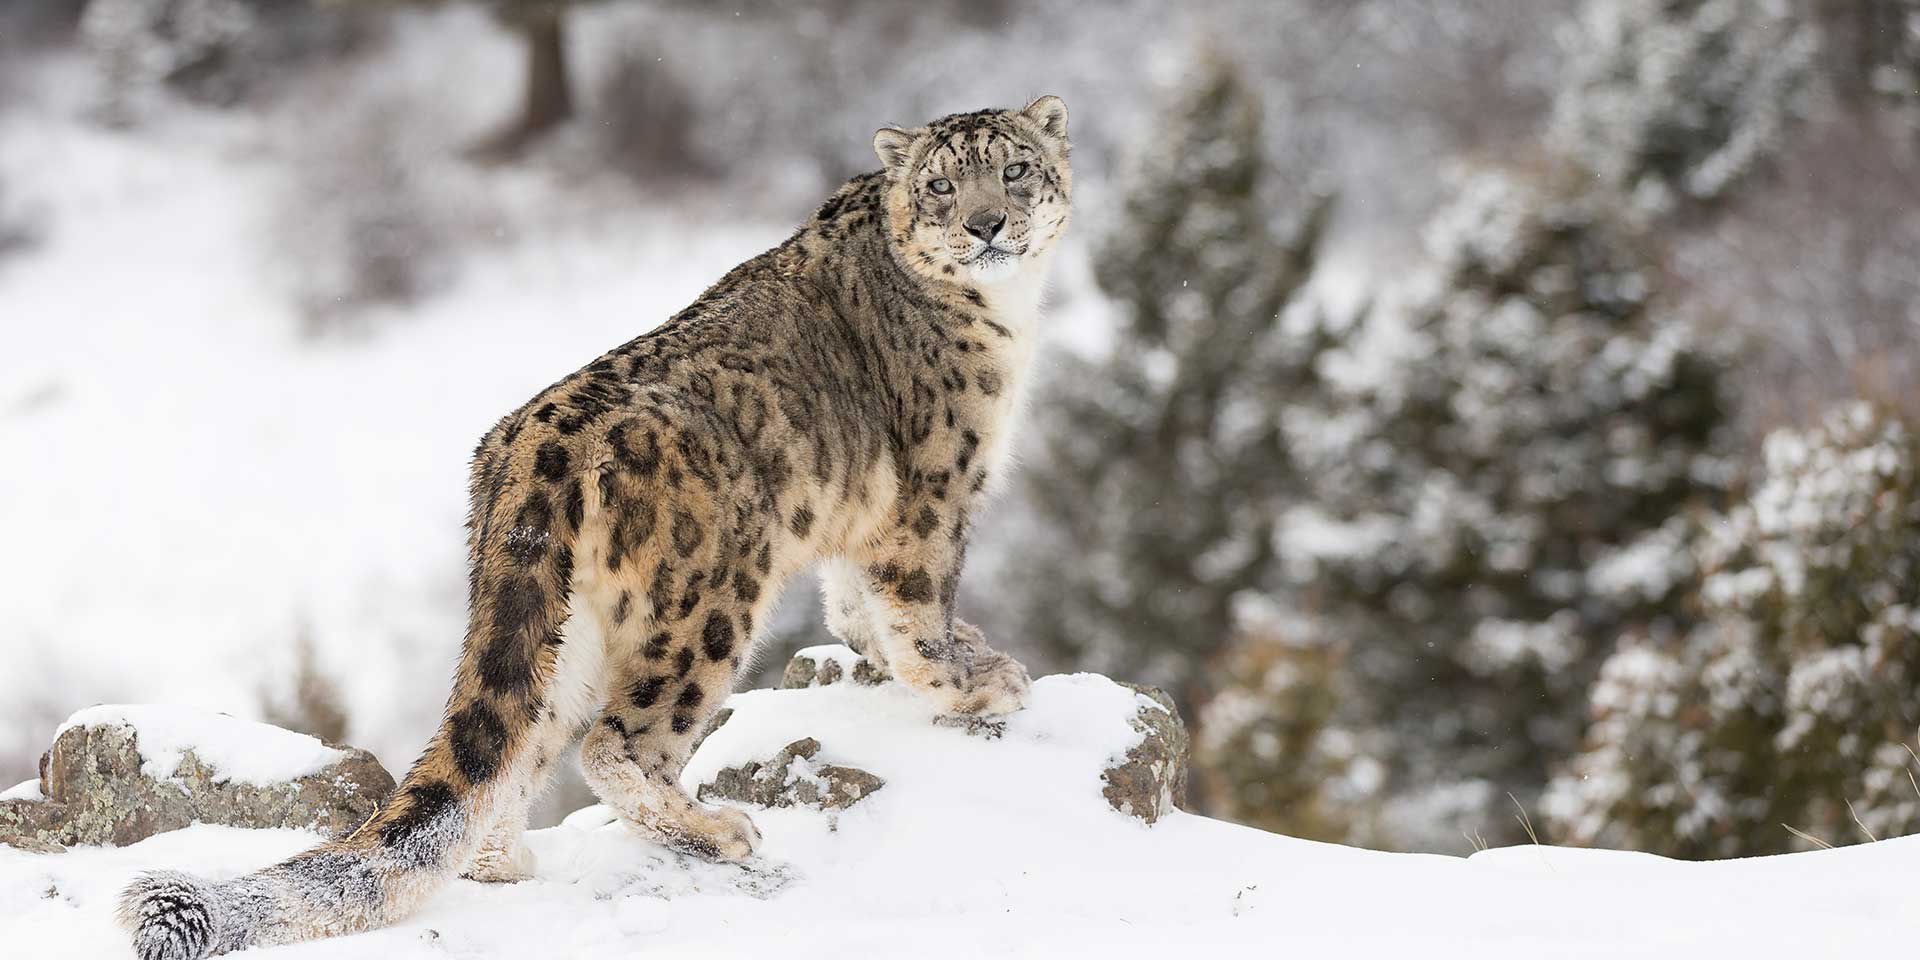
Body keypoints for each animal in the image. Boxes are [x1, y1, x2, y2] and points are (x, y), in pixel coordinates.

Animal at [118, 95, 1072, 959]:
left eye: (1016, 170)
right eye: (943, 184)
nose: (987, 223)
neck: (1008, 315)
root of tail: (527, 450)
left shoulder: (862, 518)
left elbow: (853, 605)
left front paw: (917, 657)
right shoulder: (934, 492)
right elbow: (918, 610)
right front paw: (974, 684)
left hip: (560, 628)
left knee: (519, 749)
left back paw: (508, 863)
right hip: (710, 601)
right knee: (617, 742)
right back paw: (715, 831)